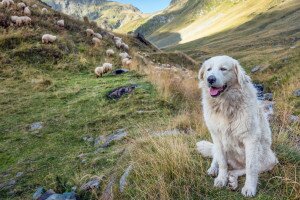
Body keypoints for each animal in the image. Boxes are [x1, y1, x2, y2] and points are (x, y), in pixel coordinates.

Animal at [196, 55, 278, 197]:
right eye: (208, 69)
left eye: (223, 69)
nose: (210, 79)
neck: (225, 106)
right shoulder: (216, 136)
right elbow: (222, 162)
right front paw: (221, 179)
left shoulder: (251, 139)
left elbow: (251, 168)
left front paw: (249, 188)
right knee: (216, 156)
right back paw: (214, 169)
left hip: (269, 159)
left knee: (244, 169)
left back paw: (232, 179)